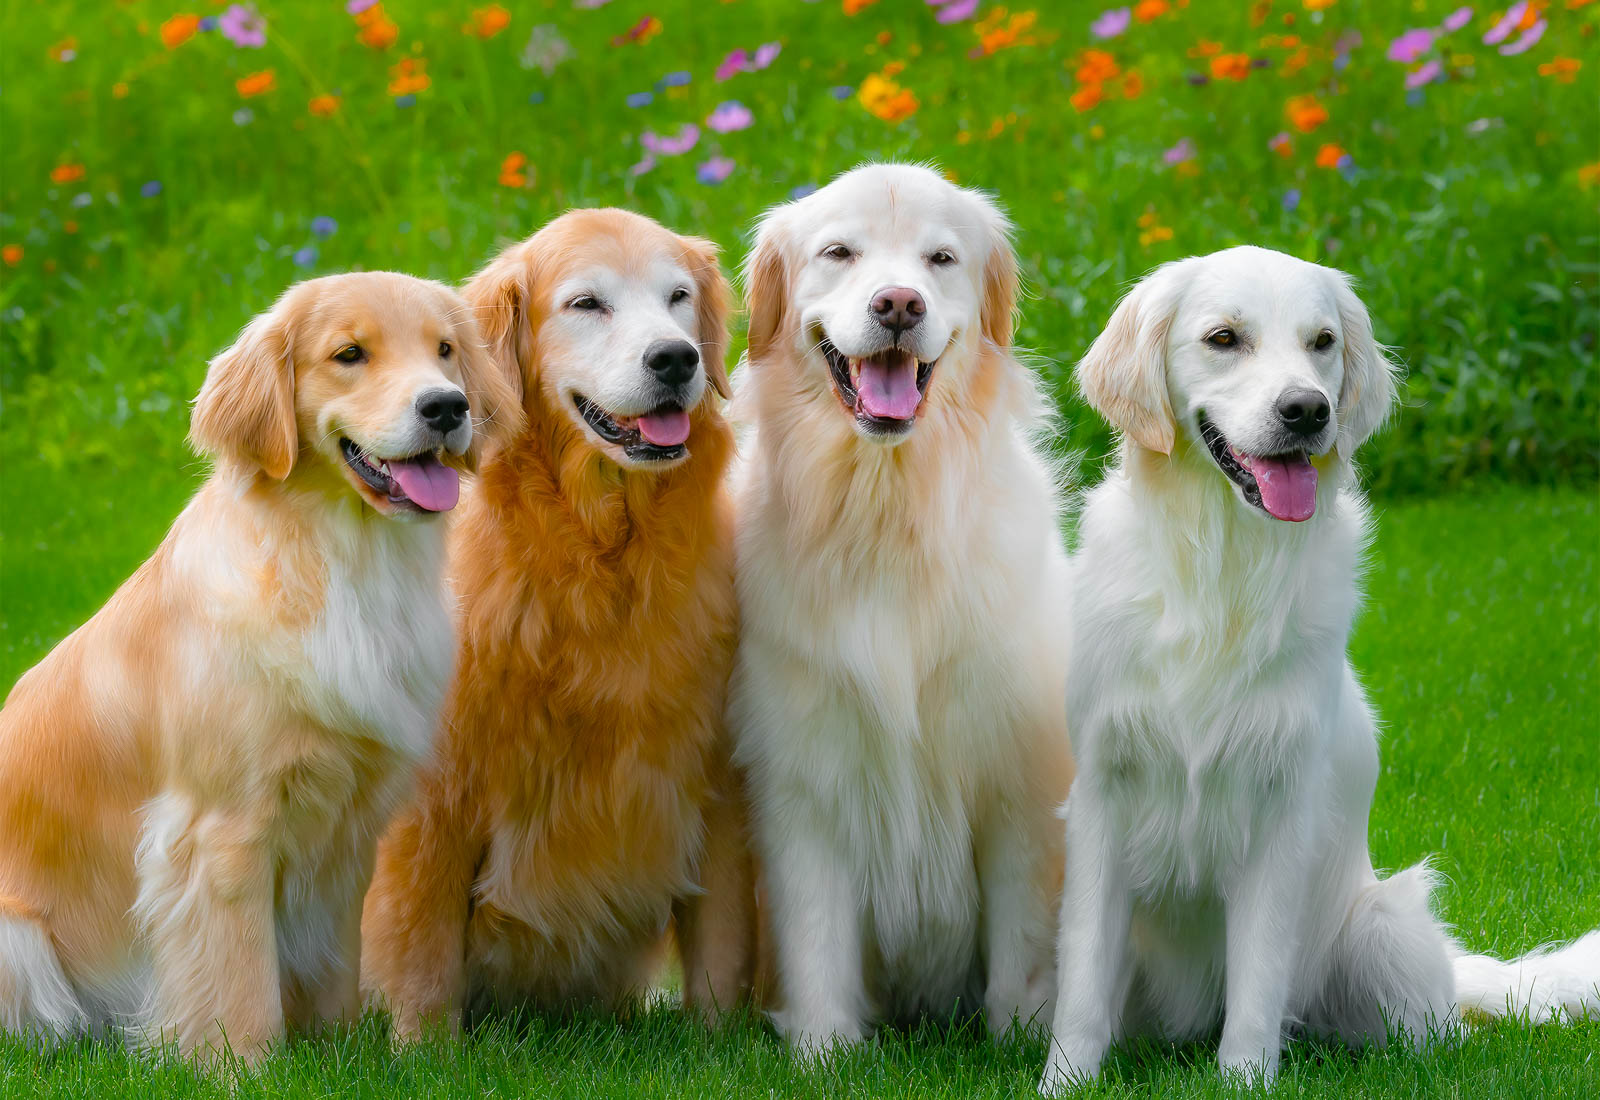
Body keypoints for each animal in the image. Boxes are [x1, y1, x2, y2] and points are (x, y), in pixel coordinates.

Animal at [0, 270, 515, 1061]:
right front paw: (245, 1066)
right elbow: (240, 977)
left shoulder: (349, 823)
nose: (447, 406)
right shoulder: (222, 829)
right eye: (349, 354)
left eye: (446, 351)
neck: (339, 560)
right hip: (17, 938)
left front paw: (340, 1051)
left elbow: (333, 962)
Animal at [361, 207, 755, 1042]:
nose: (676, 359)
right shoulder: (437, 796)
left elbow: (722, 945)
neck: (596, 554)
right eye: (586, 304)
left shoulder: (716, 781)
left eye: (677, 297)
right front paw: (424, 1050)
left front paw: (725, 1045)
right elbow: (421, 944)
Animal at [732, 161, 1081, 1048]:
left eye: (940, 259)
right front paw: (823, 1049)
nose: (898, 305)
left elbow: (1023, 941)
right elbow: (815, 935)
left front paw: (1020, 1038)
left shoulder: (1016, 782)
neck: (890, 508)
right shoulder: (805, 779)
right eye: (840, 253)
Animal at [1043, 244, 1593, 1087]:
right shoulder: (1104, 794)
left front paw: (1243, 1082)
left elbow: (1258, 983)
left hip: (1383, 929)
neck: (1224, 574)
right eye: (1224, 338)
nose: (1306, 410)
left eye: (1322, 342)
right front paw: (1064, 1081)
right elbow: (1083, 975)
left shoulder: (1279, 807)